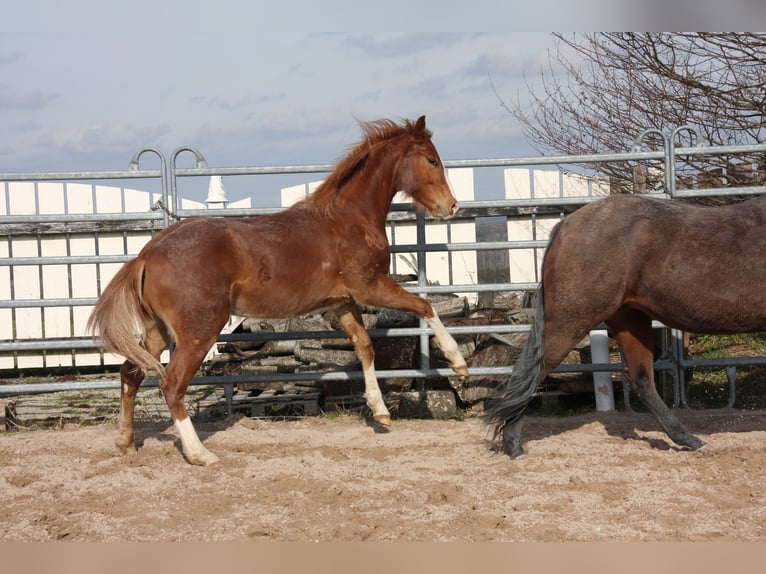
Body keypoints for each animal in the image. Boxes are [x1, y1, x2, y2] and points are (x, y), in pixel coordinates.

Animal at [85, 115, 468, 466]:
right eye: (432, 160)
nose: (451, 206)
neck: (349, 220)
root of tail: (148, 253)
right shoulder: (370, 287)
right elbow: (424, 306)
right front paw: (458, 364)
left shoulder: (342, 303)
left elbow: (365, 346)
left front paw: (381, 412)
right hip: (199, 330)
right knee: (171, 383)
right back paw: (200, 454)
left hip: (159, 330)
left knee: (130, 373)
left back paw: (125, 442)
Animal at [486, 194, 766, 460]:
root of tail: (565, 226)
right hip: (571, 320)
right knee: (531, 369)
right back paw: (514, 445)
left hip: (628, 319)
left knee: (641, 381)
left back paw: (690, 440)